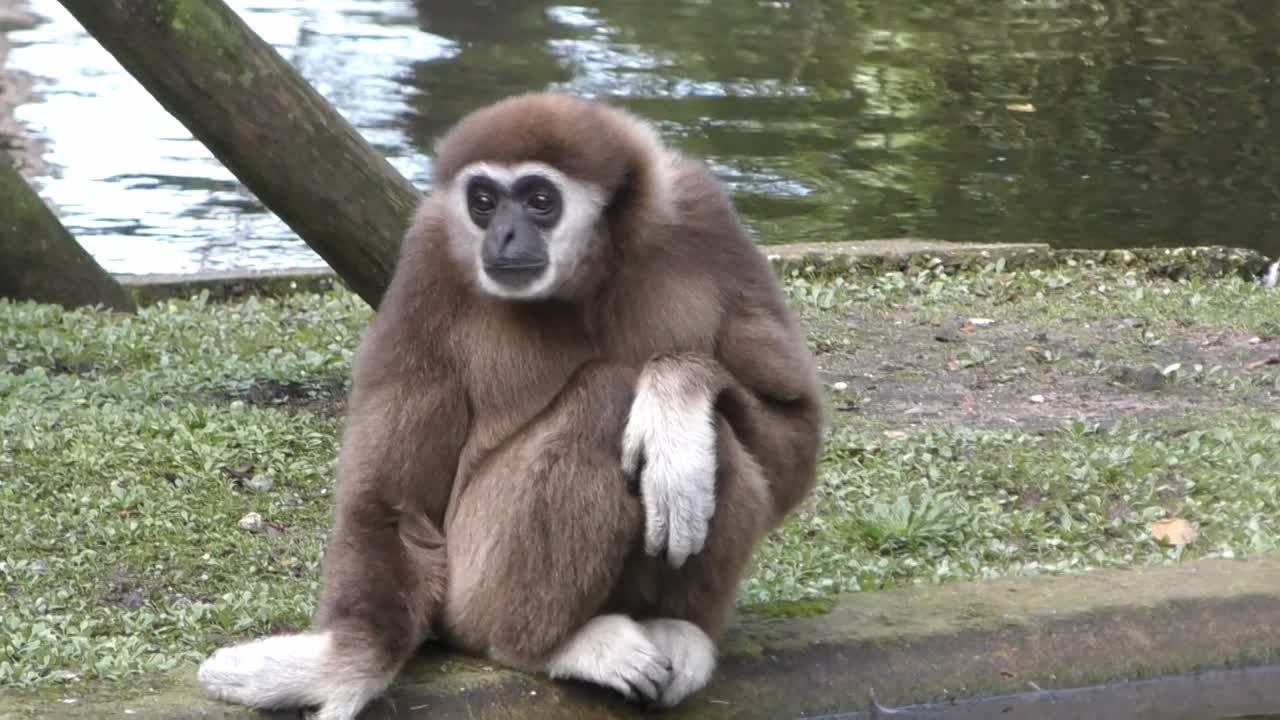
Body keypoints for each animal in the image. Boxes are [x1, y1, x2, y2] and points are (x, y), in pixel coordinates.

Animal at [196, 92, 826, 720]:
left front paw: (676, 393)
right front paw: (346, 666)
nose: (501, 235)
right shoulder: (430, 254)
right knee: (604, 397)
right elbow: (392, 504)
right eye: (483, 202)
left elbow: (794, 432)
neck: (588, 277)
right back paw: (554, 647)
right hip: (469, 588)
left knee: (702, 438)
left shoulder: (707, 217)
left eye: (540, 200)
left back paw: (677, 619)